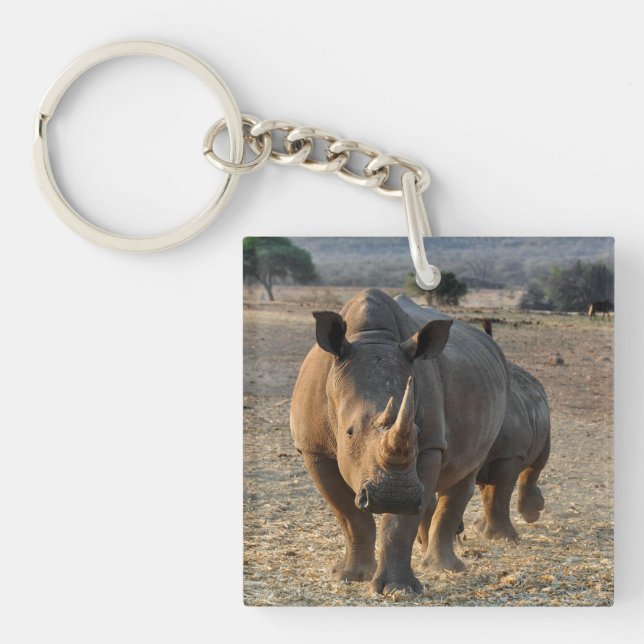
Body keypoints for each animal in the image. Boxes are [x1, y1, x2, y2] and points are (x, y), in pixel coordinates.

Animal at [290, 289, 509, 595]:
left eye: (415, 433)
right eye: (349, 433)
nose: (394, 496)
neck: (371, 337)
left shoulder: (430, 444)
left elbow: (400, 522)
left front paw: (398, 588)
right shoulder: (314, 448)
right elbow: (350, 515)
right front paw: (350, 575)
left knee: (464, 474)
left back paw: (444, 567)